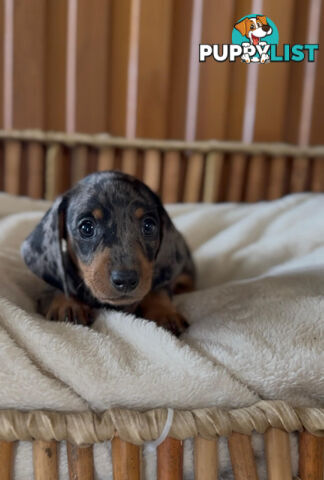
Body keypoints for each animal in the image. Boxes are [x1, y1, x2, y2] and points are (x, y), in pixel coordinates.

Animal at [22, 171, 196, 336]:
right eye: (86, 227)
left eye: (148, 226)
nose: (126, 280)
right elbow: (57, 285)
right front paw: (67, 304)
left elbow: (158, 288)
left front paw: (163, 312)